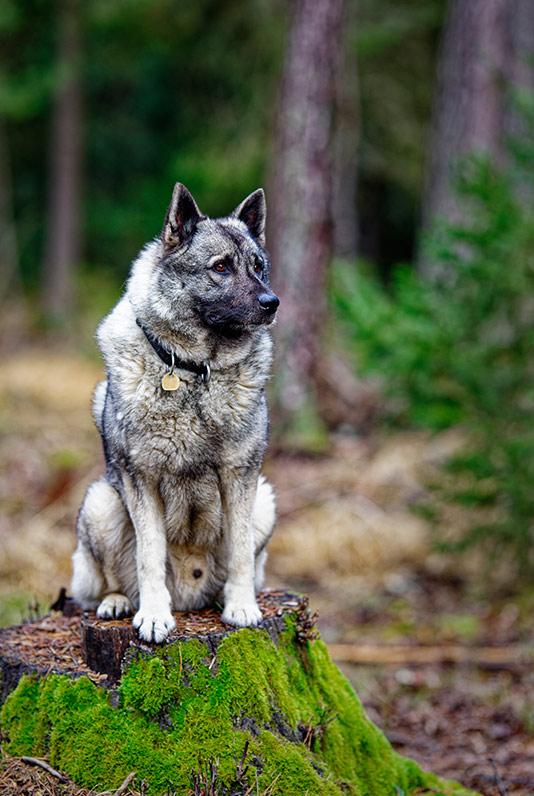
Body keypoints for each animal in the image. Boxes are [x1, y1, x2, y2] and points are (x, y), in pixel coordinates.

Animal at [70, 183, 280, 644]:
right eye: (220, 267)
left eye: (258, 267)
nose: (272, 302)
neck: (194, 371)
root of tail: (190, 597)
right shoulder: (140, 480)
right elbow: (149, 554)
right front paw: (153, 615)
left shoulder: (241, 478)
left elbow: (239, 551)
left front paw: (241, 606)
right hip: (100, 502)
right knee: (104, 585)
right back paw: (119, 602)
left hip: (265, 501)